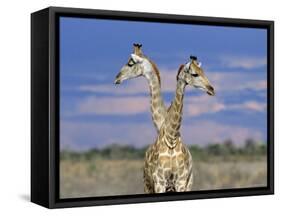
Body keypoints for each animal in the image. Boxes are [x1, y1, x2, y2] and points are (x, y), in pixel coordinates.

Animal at [143, 55, 213, 192]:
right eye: (195, 74)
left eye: (203, 72)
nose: (211, 89)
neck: (171, 139)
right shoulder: (159, 181)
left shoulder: (181, 181)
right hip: (147, 185)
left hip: (187, 183)